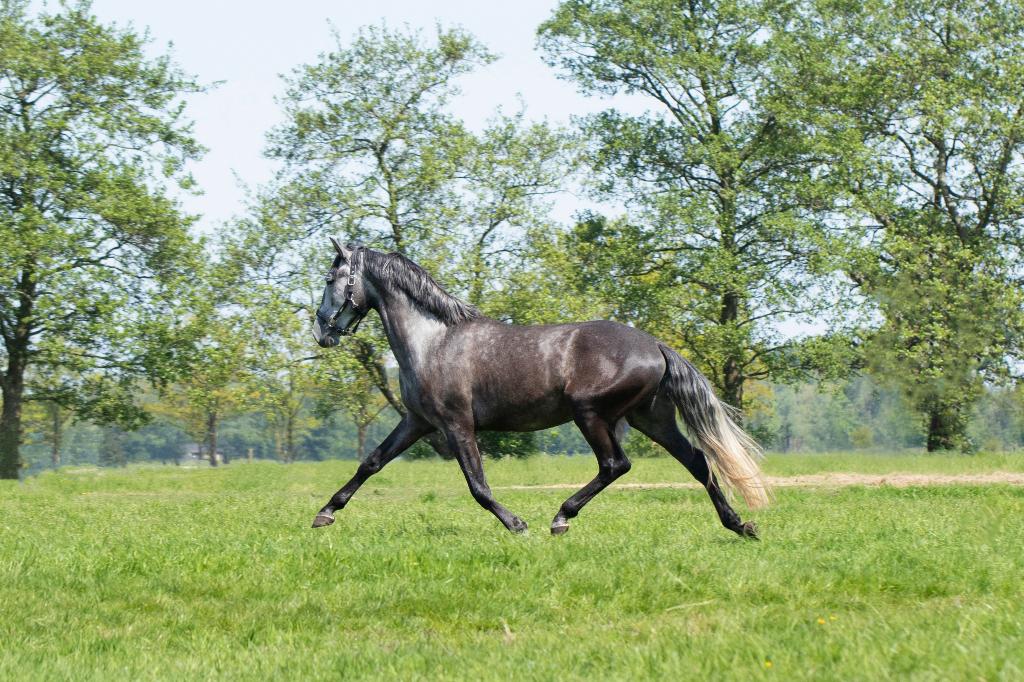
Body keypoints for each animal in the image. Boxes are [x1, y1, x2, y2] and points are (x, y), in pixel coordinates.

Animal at [311, 240, 769, 538]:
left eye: (332, 277)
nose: (321, 331)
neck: (433, 341)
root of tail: (655, 344)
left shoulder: (457, 425)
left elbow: (478, 486)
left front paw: (517, 524)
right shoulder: (418, 422)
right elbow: (371, 463)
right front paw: (325, 513)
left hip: (591, 414)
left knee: (615, 465)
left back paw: (561, 517)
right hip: (650, 418)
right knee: (697, 462)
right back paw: (739, 525)